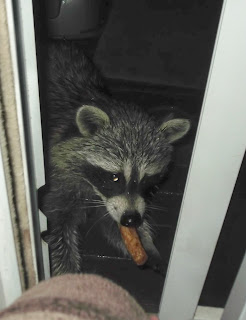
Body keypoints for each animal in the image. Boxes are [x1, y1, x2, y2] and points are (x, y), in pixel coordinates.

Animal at [41, 42, 190, 276]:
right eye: (114, 176)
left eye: (147, 180)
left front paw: (145, 242)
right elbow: (59, 226)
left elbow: (114, 222)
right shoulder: (60, 177)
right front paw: (66, 272)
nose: (132, 219)